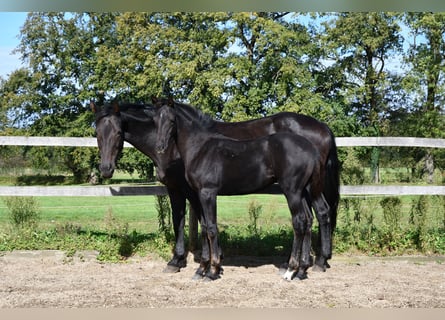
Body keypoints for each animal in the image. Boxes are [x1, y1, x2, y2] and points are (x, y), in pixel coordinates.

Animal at [153, 97, 326, 280]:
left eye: (172, 121)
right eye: (155, 120)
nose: (160, 146)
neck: (201, 148)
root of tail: (310, 148)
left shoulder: (208, 193)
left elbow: (212, 228)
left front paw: (212, 271)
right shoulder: (198, 194)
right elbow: (205, 227)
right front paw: (201, 270)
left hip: (292, 191)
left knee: (299, 222)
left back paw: (290, 270)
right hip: (303, 192)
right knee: (308, 220)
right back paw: (301, 270)